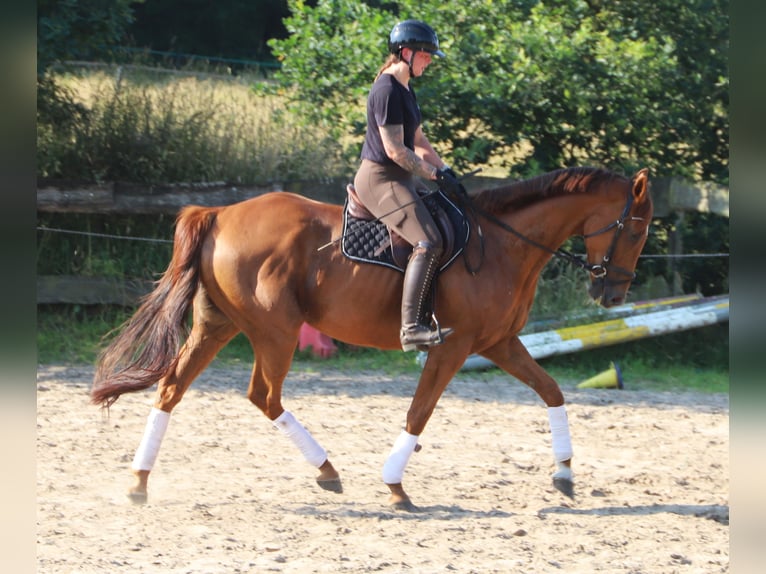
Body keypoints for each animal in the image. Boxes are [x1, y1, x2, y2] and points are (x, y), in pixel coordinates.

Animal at [91, 166, 653, 511]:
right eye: (636, 229)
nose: (612, 294)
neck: (501, 244)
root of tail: (220, 214)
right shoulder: (453, 346)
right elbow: (419, 413)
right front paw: (396, 487)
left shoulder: (499, 343)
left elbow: (553, 392)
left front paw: (565, 474)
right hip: (276, 331)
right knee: (263, 395)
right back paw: (327, 469)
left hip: (219, 324)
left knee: (173, 389)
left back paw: (139, 483)